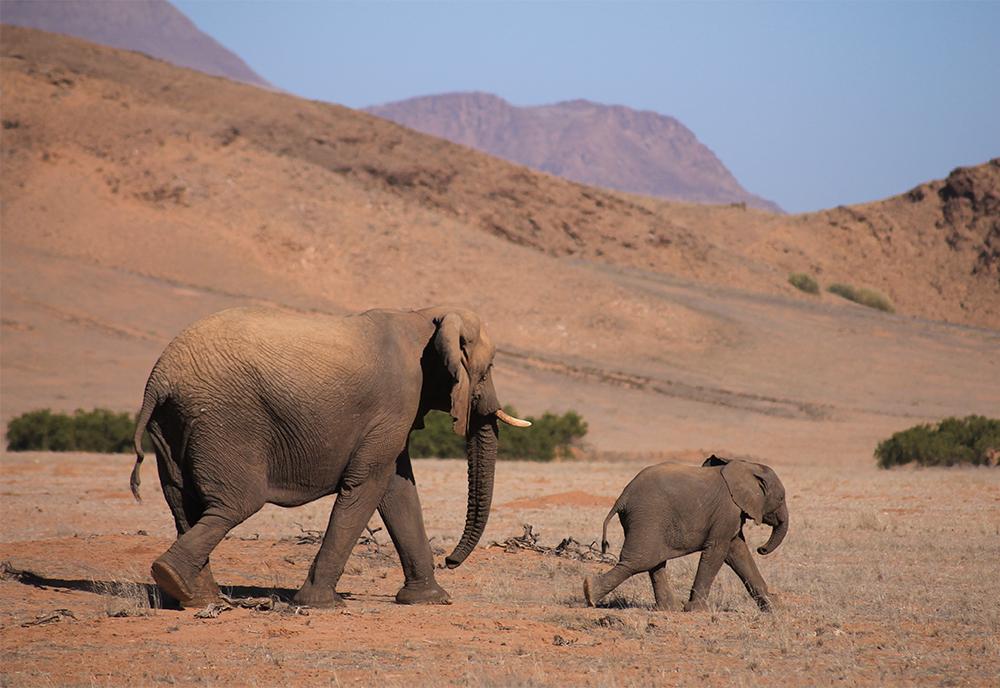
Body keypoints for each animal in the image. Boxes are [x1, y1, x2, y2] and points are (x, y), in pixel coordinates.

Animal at [132, 306, 532, 608]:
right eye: (489, 369)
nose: (450, 560)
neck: (424, 317)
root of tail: (157, 381)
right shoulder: (397, 401)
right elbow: (370, 484)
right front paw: (321, 604)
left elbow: (396, 488)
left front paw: (429, 600)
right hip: (224, 422)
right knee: (236, 504)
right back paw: (178, 581)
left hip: (172, 426)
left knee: (183, 505)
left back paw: (196, 597)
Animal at [584, 456, 788, 612]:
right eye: (781, 498)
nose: (761, 549)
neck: (746, 466)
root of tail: (622, 498)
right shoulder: (727, 511)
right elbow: (717, 551)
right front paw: (696, 610)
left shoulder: (732, 515)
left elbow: (738, 552)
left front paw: (773, 607)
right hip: (648, 516)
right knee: (639, 561)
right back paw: (589, 593)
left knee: (653, 561)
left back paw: (670, 608)